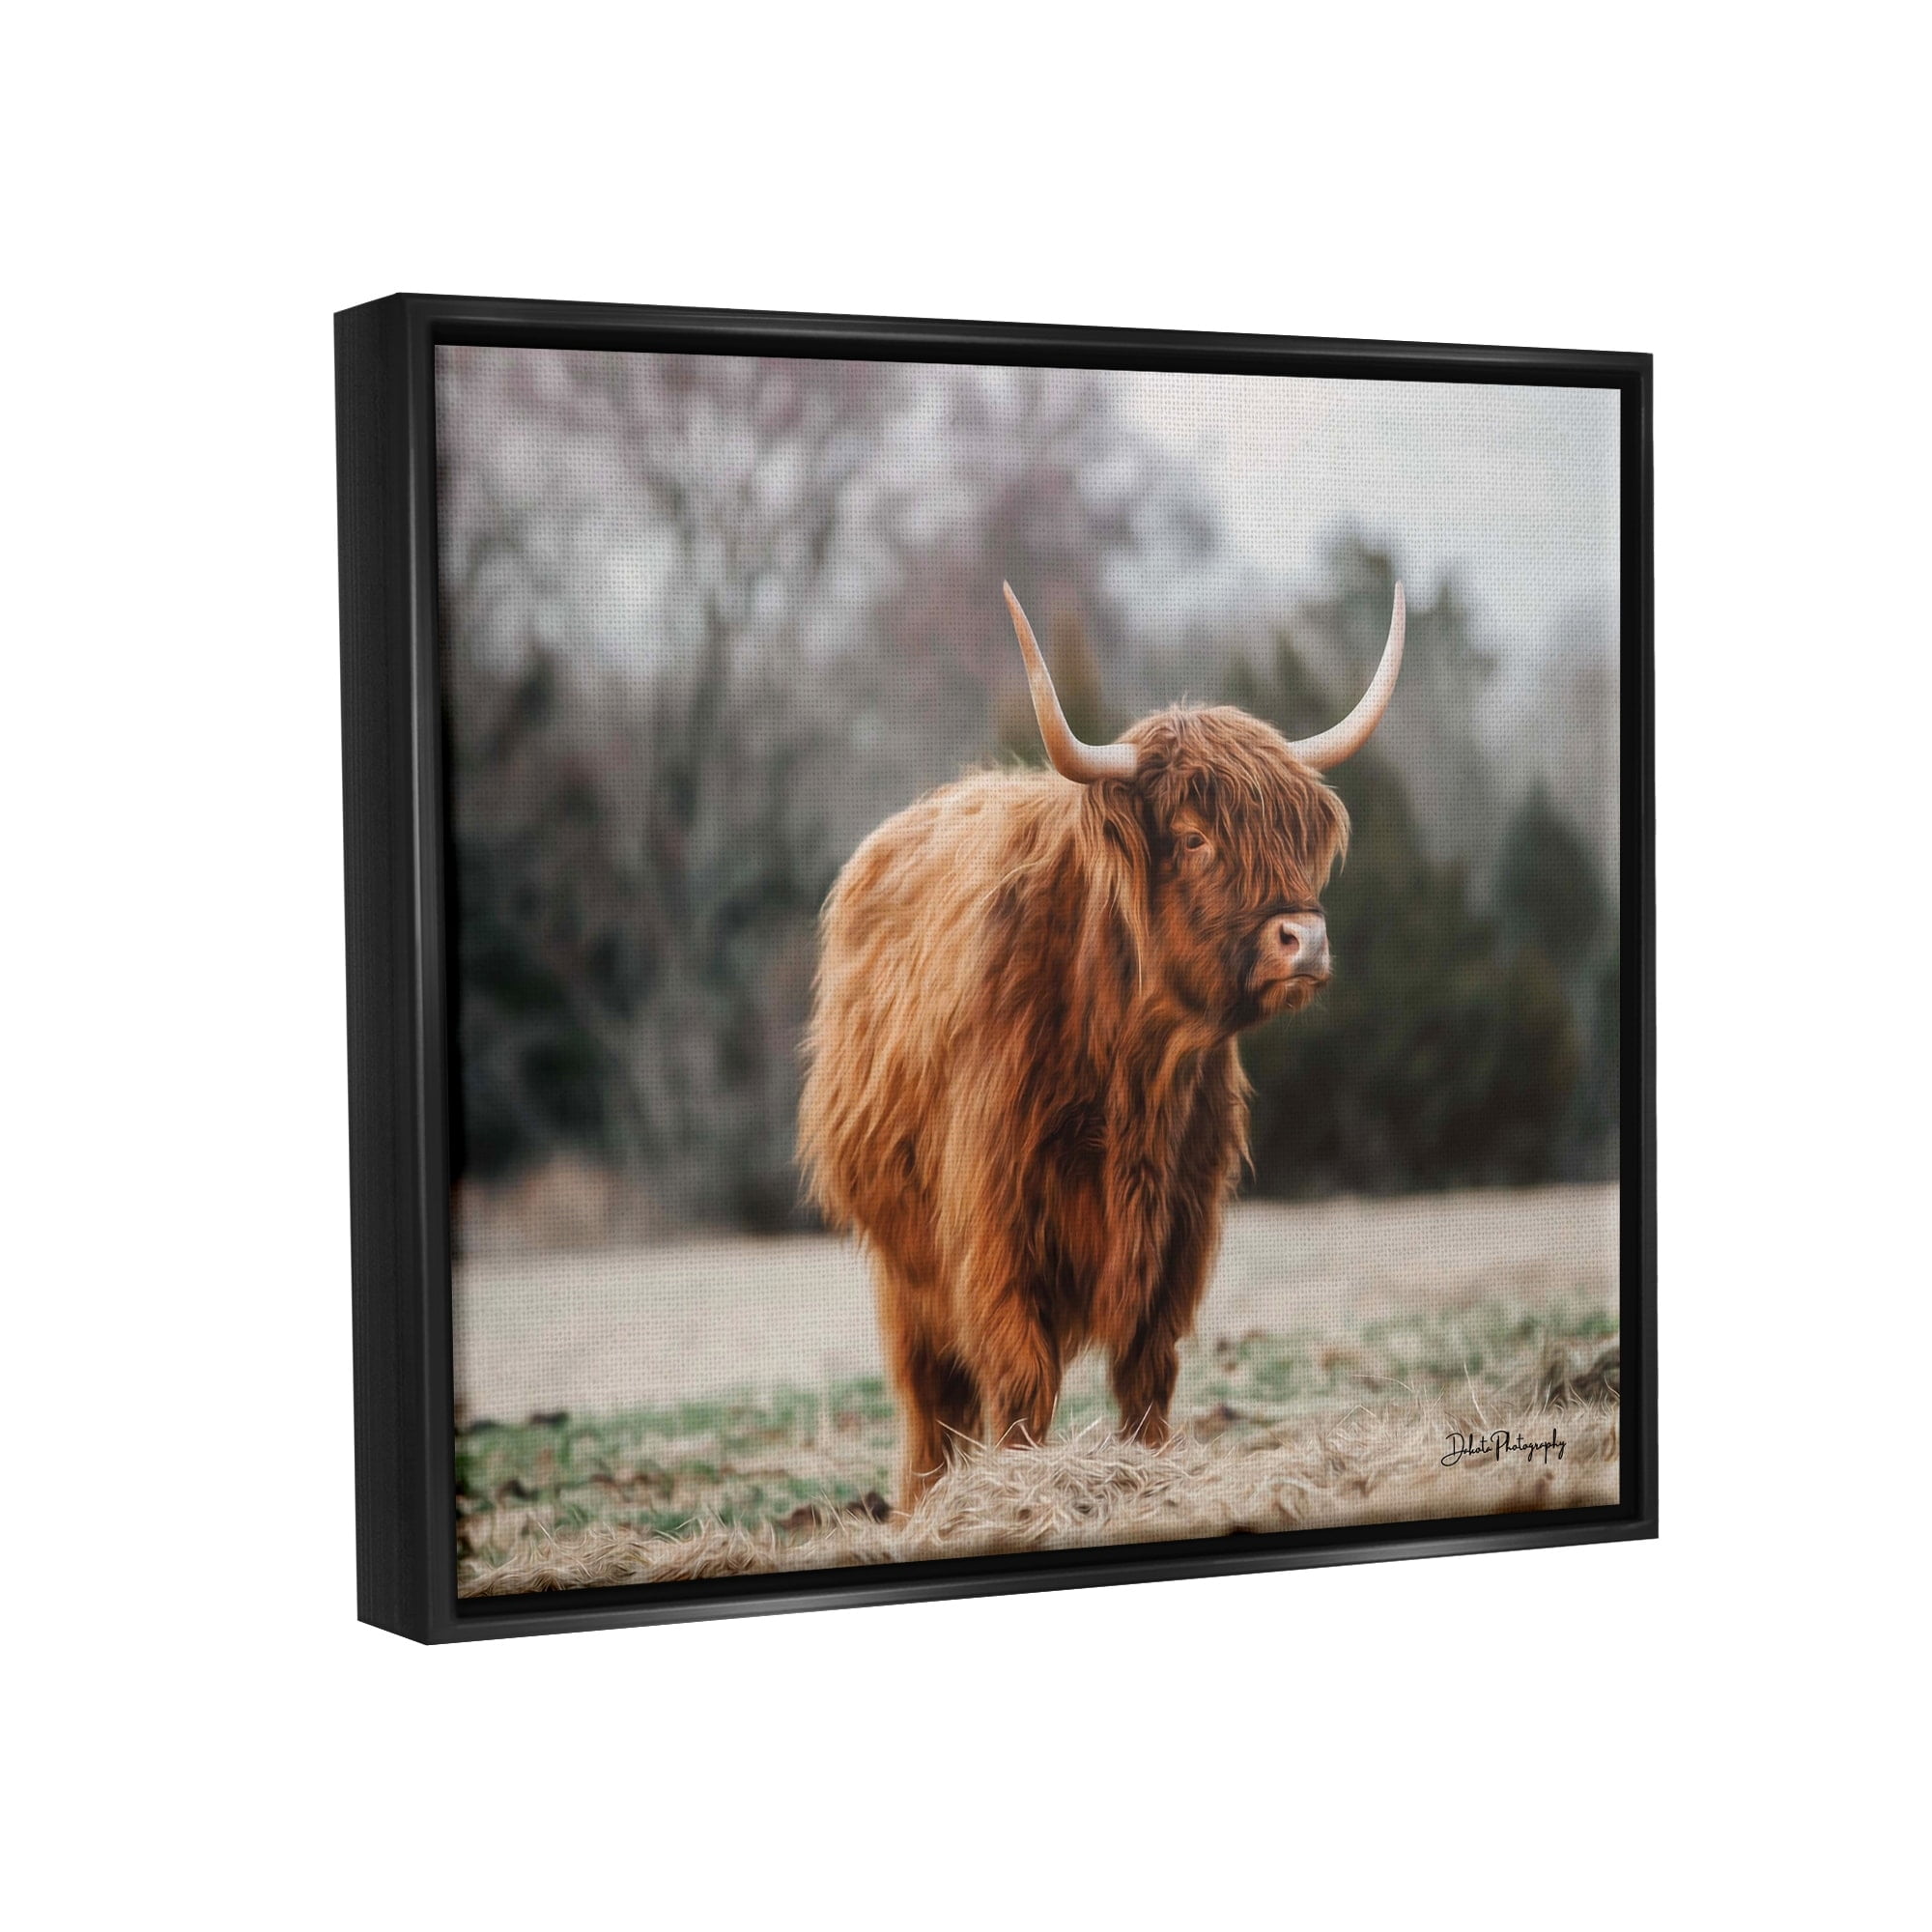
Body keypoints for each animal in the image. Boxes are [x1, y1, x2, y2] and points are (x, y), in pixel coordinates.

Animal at [797, 580, 1405, 1509]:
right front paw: (1024, 1490)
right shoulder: (994, 1222)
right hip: (904, 1259)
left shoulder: (1183, 1220)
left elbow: (1148, 1367)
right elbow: (1019, 1377)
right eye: (1193, 837)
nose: (1304, 940)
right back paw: (924, 1506)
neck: (1133, 1064)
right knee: (929, 1394)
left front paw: (1148, 1471)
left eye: (1293, 837)